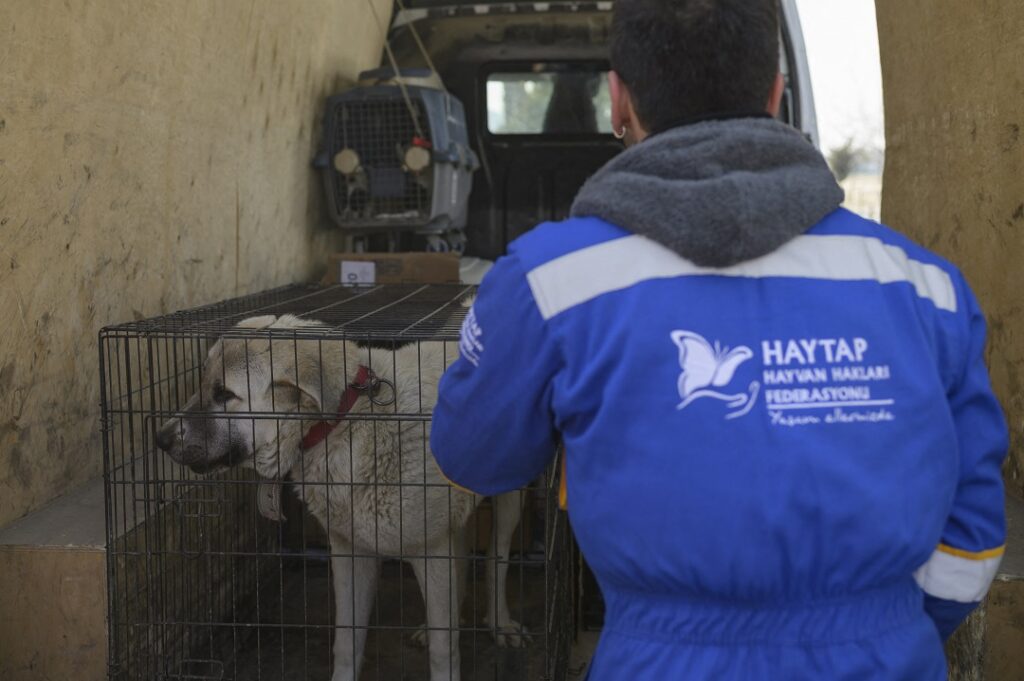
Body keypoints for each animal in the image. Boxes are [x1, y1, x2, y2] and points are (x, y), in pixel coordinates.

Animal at [161, 313, 528, 679]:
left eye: (224, 394)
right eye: (202, 384)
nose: (159, 438)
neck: (345, 422)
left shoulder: (433, 550)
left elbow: (443, 650)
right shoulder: (351, 554)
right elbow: (347, 642)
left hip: (509, 501)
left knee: (497, 557)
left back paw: (501, 623)